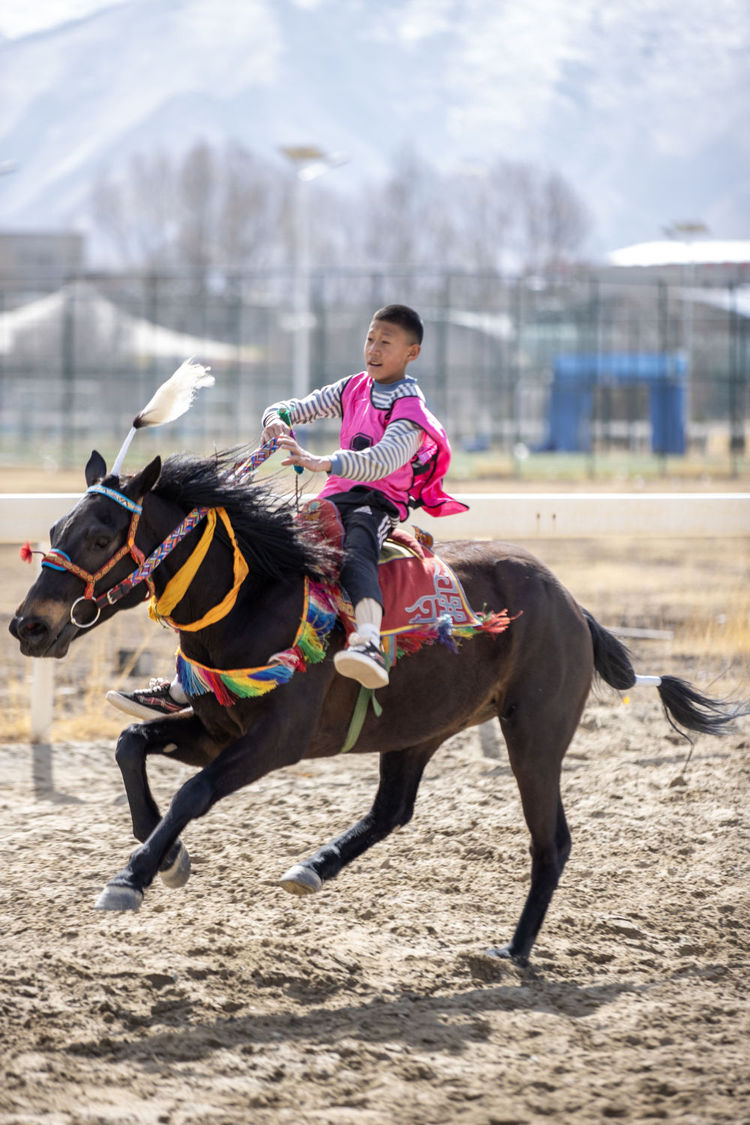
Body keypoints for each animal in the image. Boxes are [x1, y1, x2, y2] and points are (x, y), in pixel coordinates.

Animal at [8, 452, 742, 963]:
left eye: (100, 538)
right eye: (56, 527)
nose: (28, 625)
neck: (257, 598)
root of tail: (572, 605)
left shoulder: (276, 741)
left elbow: (193, 792)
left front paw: (133, 875)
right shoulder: (218, 726)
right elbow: (130, 743)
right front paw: (164, 854)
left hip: (534, 733)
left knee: (551, 840)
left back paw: (514, 949)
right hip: (419, 729)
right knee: (393, 810)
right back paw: (314, 865)